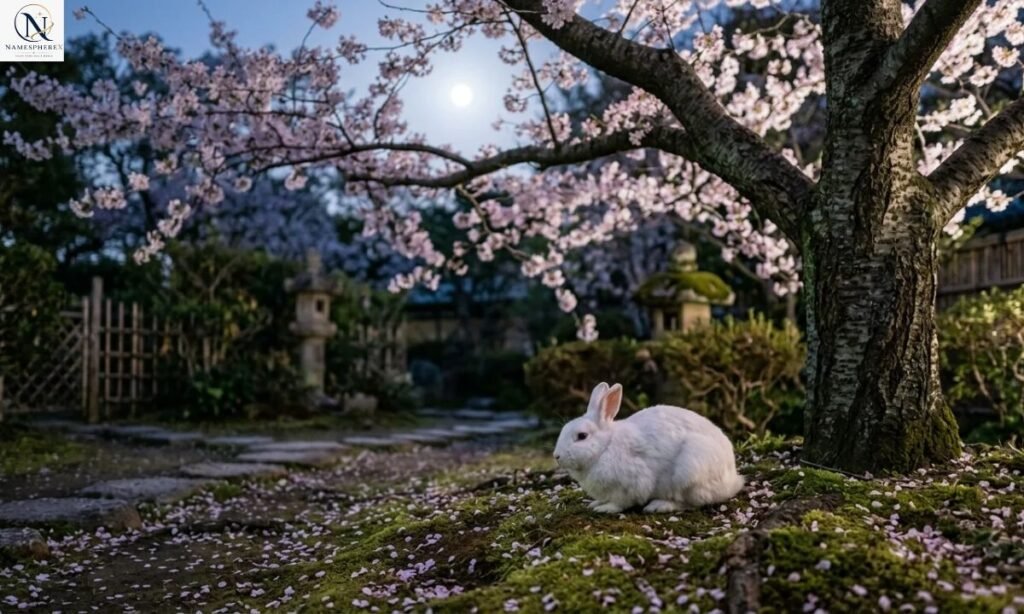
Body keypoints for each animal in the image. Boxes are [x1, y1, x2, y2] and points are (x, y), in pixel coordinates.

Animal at [553, 382, 745, 514]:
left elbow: (620, 502)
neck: (605, 447)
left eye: (582, 436)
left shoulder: (631, 484)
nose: (556, 456)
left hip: (690, 471)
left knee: (690, 502)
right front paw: (596, 503)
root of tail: (732, 480)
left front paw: (605, 508)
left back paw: (659, 505)